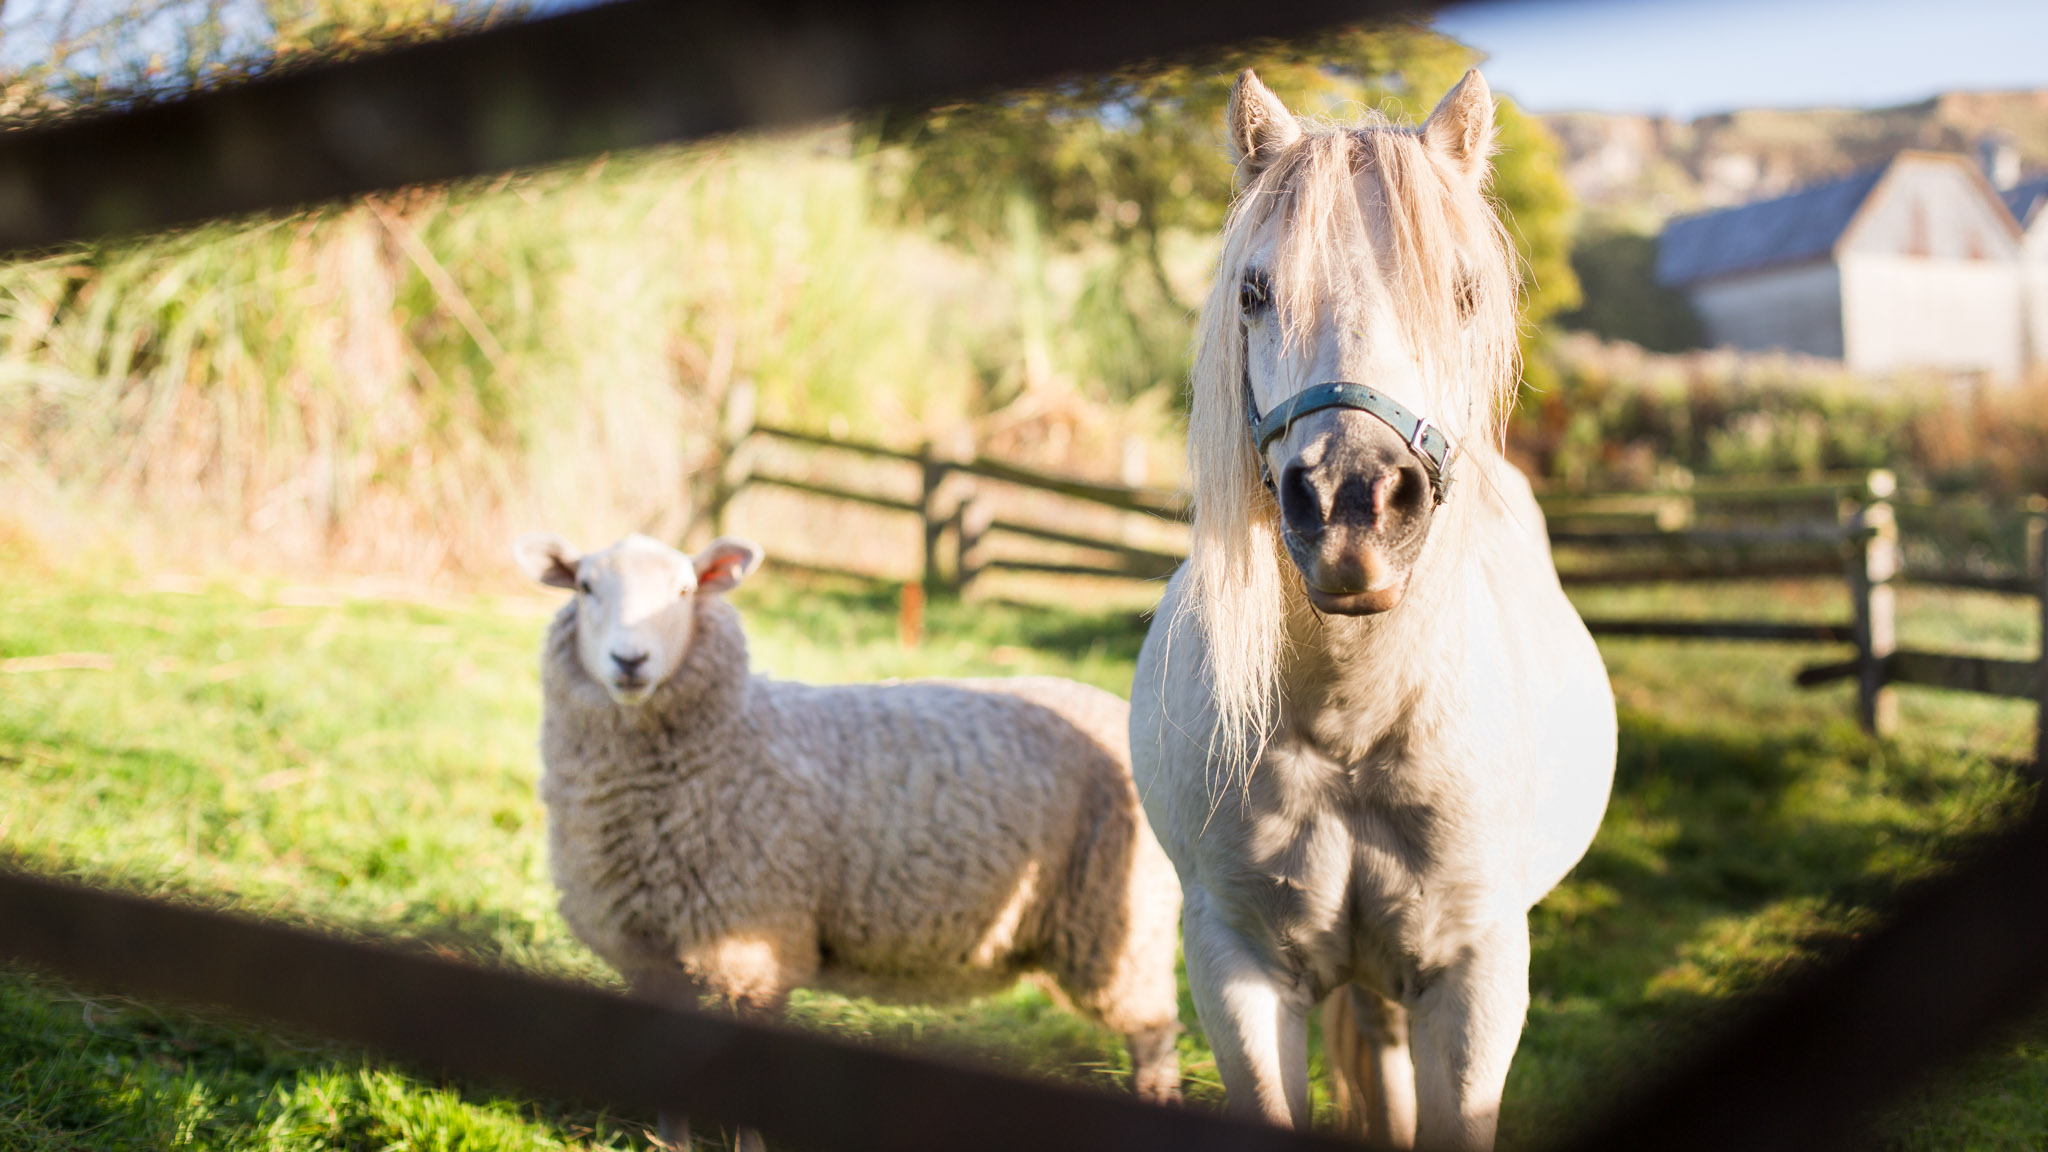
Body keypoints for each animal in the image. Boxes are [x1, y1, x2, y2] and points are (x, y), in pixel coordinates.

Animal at [516, 532, 1187, 1139]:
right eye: (585, 586)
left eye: (685, 590)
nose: (630, 662)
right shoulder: (654, 953)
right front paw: (670, 1142)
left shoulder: (755, 949)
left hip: (1125, 921)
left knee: (1153, 1034)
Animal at [1130, 71, 1622, 1147]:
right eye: (1253, 291)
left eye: (1464, 293)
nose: (1352, 504)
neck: (1350, 722)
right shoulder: (1236, 967)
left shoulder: (1473, 980)